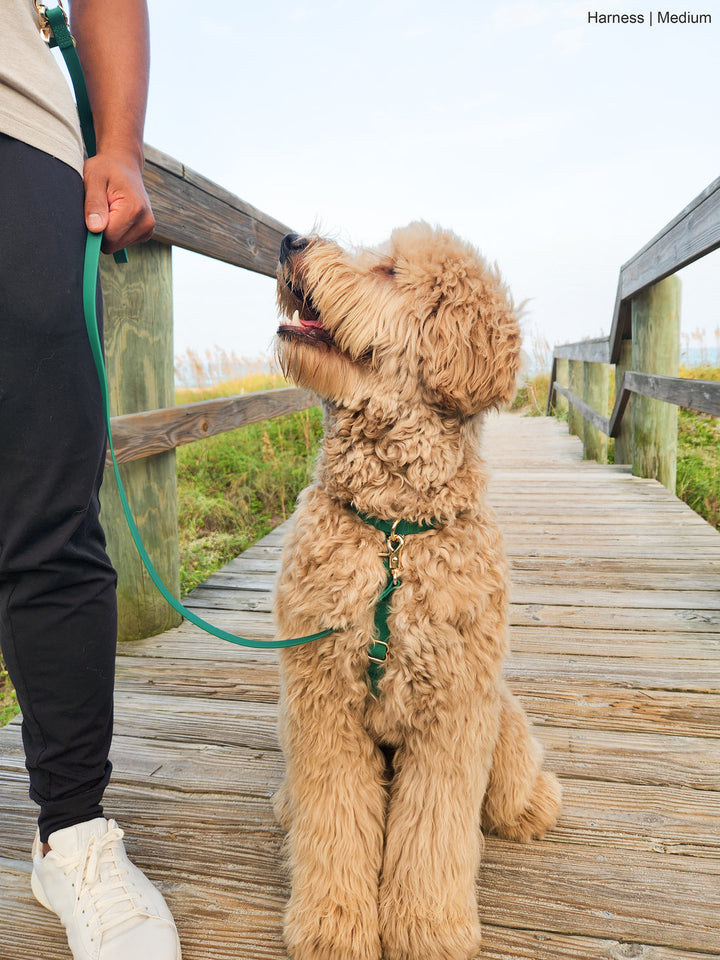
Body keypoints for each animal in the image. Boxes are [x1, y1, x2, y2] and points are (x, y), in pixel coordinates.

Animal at [272, 221, 560, 956]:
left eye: (389, 272)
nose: (288, 241)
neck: (394, 529)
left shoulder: (453, 712)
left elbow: (433, 834)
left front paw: (427, 929)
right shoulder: (322, 701)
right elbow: (333, 821)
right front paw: (333, 926)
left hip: (500, 714)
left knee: (510, 780)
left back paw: (532, 805)